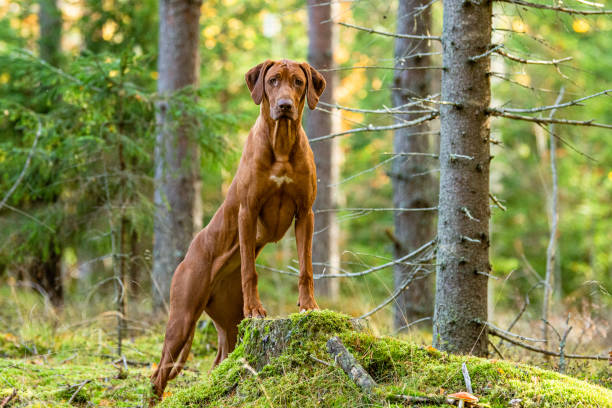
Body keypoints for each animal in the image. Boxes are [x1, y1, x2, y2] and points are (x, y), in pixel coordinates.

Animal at [150, 59, 326, 400]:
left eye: (298, 82)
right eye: (273, 81)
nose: (284, 106)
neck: (281, 144)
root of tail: (186, 258)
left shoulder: (306, 214)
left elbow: (306, 269)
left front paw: (309, 305)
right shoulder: (247, 212)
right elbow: (249, 269)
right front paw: (256, 308)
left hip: (228, 319)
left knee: (220, 361)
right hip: (182, 317)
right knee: (158, 374)